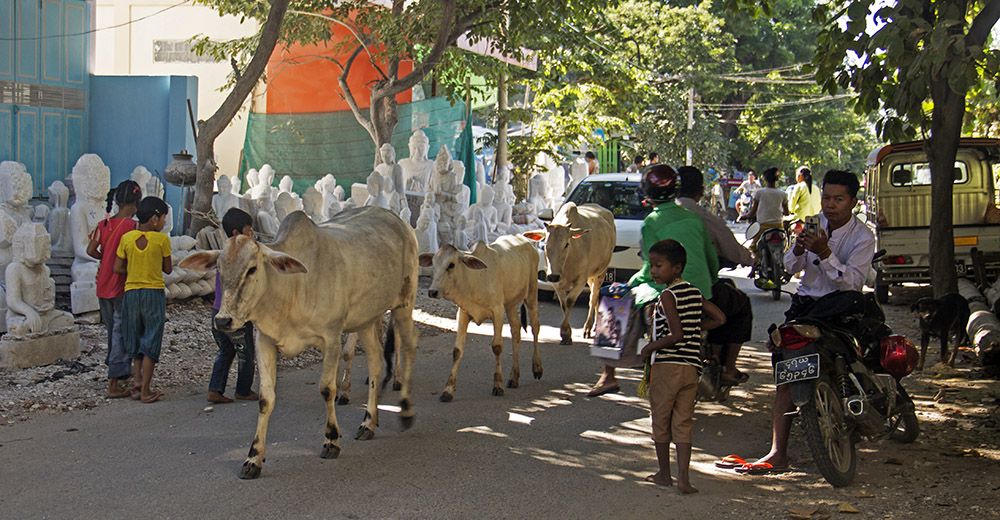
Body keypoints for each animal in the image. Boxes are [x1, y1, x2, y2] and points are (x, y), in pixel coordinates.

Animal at [182, 208, 420, 480]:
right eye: (219, 269)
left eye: (252, 269)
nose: (223, 320)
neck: (291, 289)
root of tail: (397, 220)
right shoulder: (264, 341)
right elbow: (266, 398)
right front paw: (253, 458)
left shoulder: (331, 337)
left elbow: (327, 389)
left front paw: (331, 440)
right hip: (367, 319)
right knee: (376, 363)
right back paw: (368, 422)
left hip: (404, 303)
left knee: (408, 347)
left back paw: (405, 411)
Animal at [418, 237, 544, 402]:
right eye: (434, 264)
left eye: (451, 265)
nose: (432, 291)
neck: (474, 280)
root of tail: (527, 241)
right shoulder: (463, 314)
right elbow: (457, 351)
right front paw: (448, 390)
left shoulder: (497, 311)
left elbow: (497, 347)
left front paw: (498, 385)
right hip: (510, 305)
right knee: (516, 330)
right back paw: (514, 377)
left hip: (531, 293)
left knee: (535, 327)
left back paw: (537, 368)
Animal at [524, 203, 616, 346]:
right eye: (545, 244)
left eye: (566, 244)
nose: (553, 275)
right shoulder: (556, 281)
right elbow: (563, 304)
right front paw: (565, 333)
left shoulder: (580, 280)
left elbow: (569, 302)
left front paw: (566, 334)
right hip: (591, 277)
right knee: (595, 297)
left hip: (601, 272)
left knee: (593, 297)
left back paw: (588, 328)